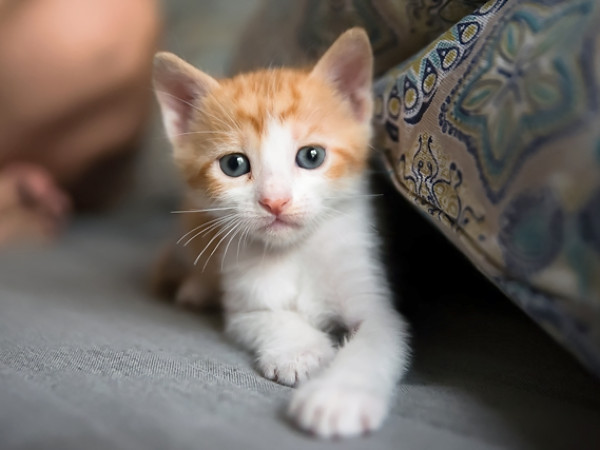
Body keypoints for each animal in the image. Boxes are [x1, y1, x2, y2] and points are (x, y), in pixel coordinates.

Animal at [152, 27, 410, 436]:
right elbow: (267, 317)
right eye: (234, 164)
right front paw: (303, 352)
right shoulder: (244, 300)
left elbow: (376, 341)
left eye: (311, 156)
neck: (296, 252)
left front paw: (337, 398)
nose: (275, 201)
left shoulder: (373, 297)